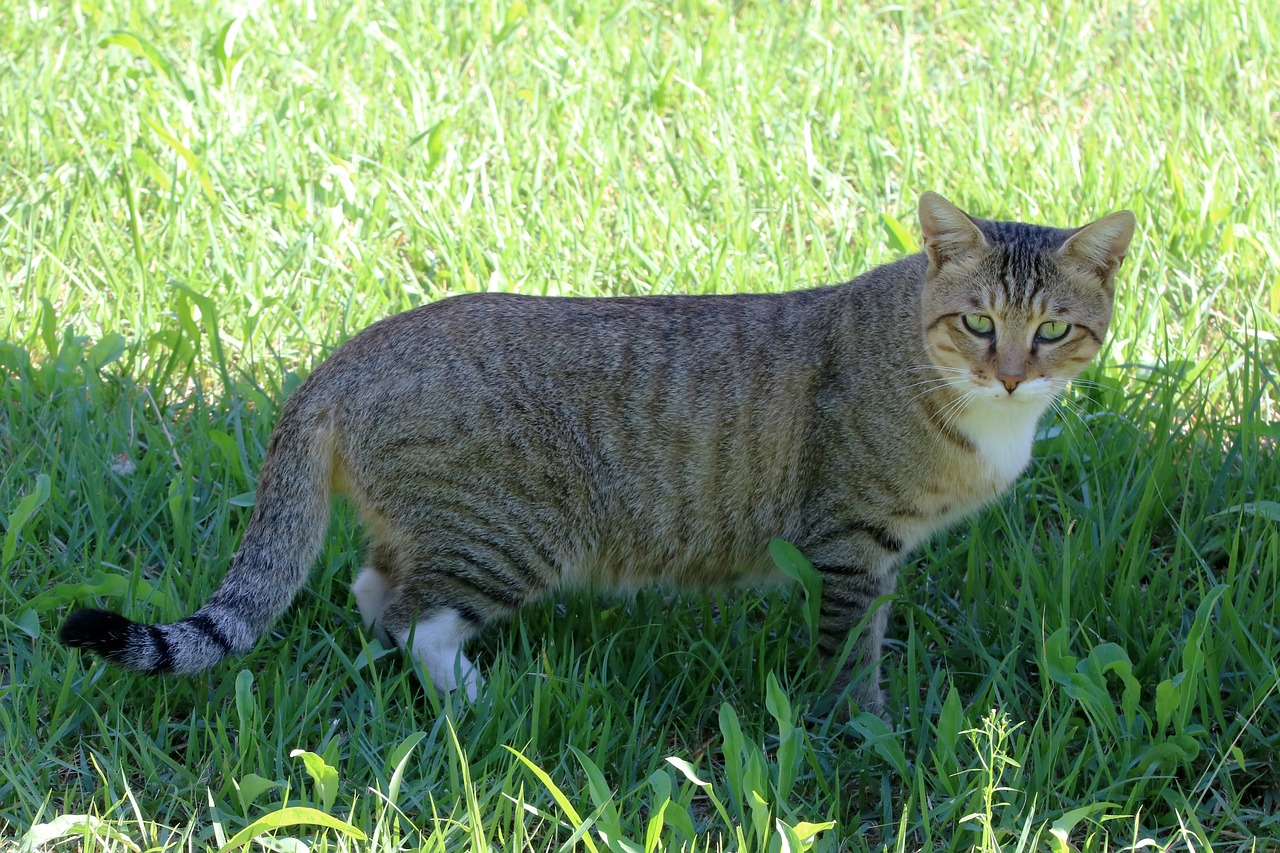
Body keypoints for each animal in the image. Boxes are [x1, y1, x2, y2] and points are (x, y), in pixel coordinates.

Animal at [62, 190, 1141, 712]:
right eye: (975, 322)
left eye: (1051, 331)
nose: (1011, 374)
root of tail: (349, 351)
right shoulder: (851, 543)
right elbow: (852, 651)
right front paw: (866, 722)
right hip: (513, 533)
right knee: (414, 614)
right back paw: (483, 701)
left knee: (377, 590)